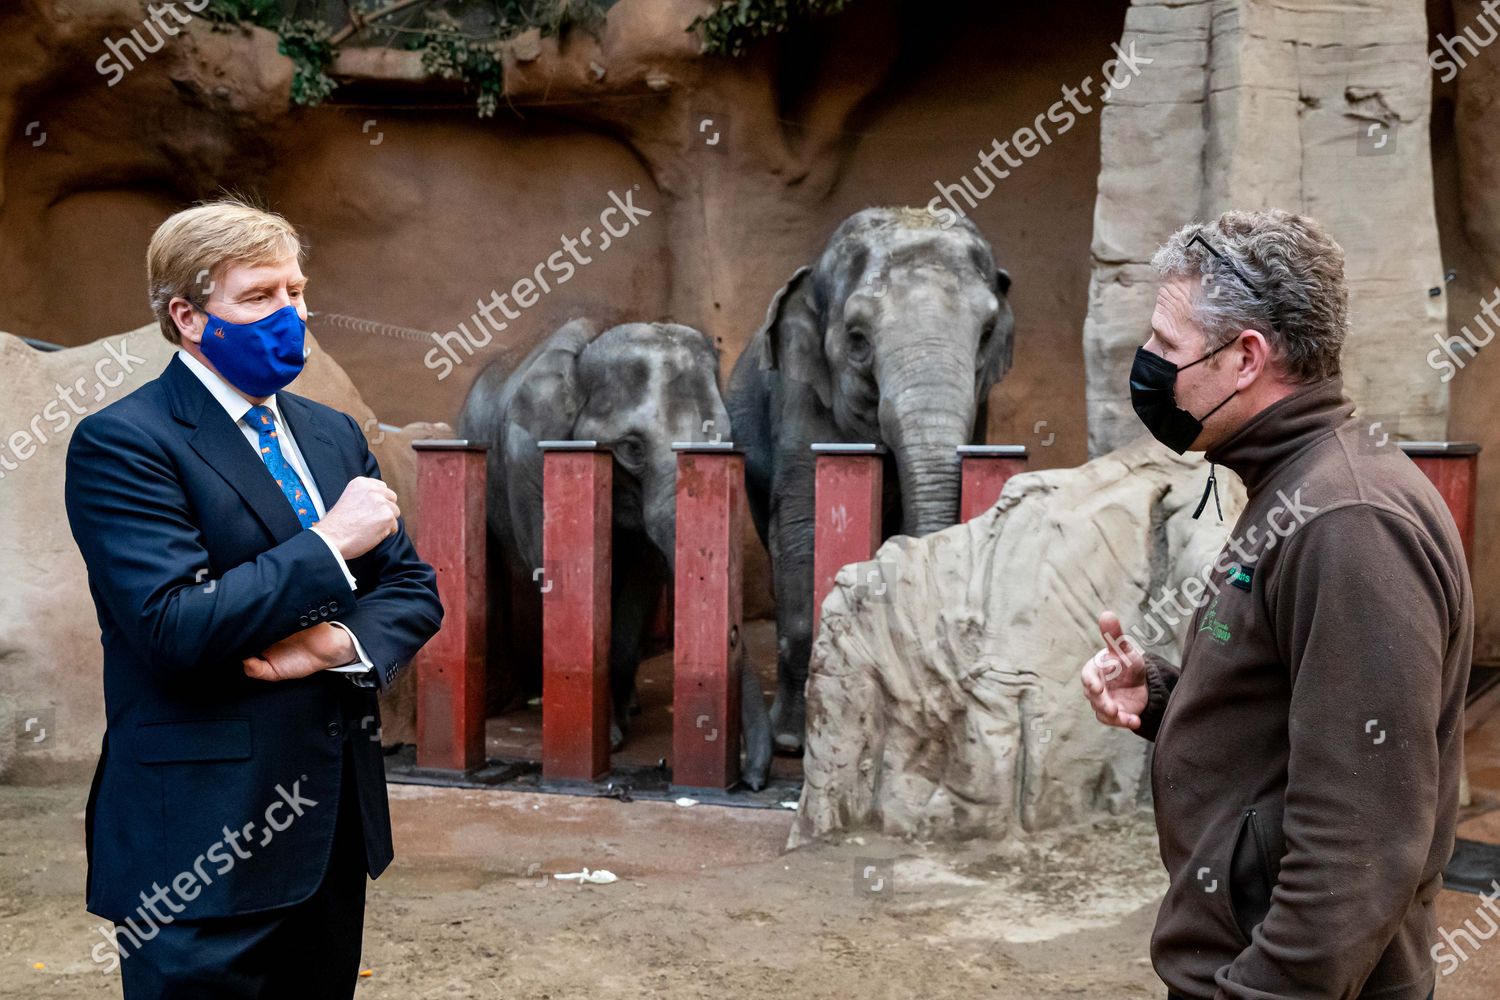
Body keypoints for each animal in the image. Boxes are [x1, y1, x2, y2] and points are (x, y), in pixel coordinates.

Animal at [456, 319, 774, 791]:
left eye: (725, 440)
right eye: (631, 449)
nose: (752, 780)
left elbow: (644, 570)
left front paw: (618, 723)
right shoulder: (529, 460)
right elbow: (554, 566)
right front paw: (607, 734)